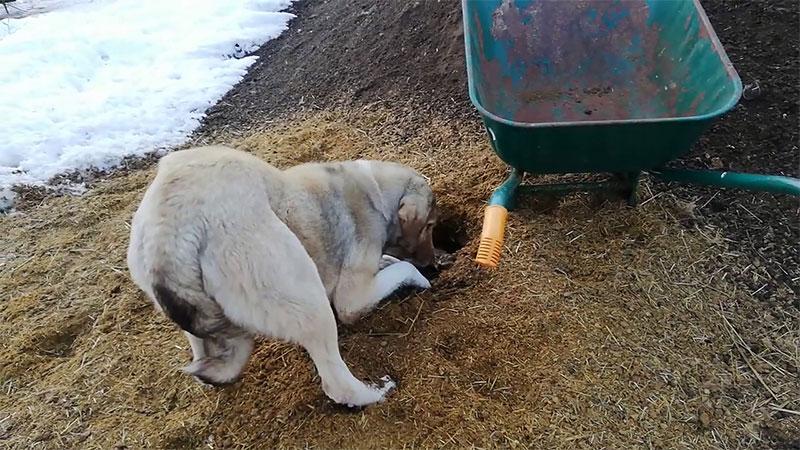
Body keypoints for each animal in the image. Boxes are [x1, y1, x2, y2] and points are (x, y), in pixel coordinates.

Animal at [126, 146, 438, 406]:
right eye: (429, 226)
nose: (434, 266)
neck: (372, 193)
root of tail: (170, 226)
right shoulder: (353, 298)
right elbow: (402, 268)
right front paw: (420, 279)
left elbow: (391, 263)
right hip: (310, 303)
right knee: (337, 384)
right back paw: (375, 393)